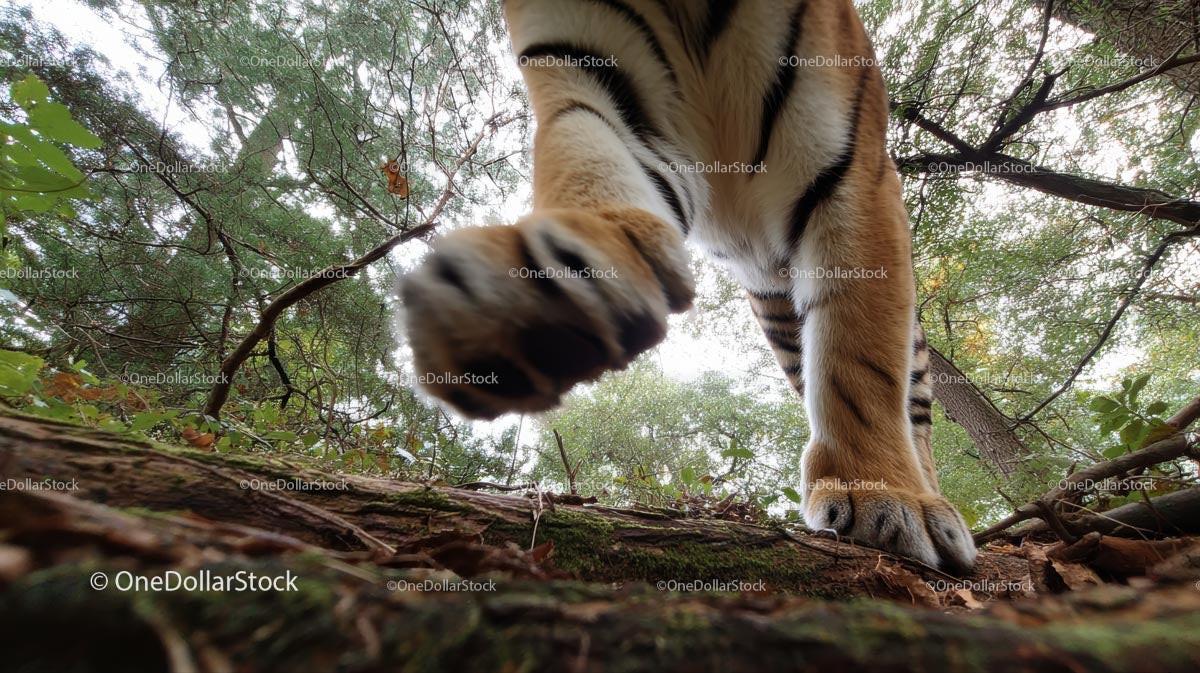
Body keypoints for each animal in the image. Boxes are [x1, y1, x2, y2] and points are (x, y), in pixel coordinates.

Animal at [399, 0, 978, 572]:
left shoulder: (852, 160)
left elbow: (860, 357)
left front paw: (888, 495)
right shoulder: (595, 75)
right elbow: (585, 157)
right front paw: (531, 300)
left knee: (914, 411)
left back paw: (932, 500)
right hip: (776, 310)